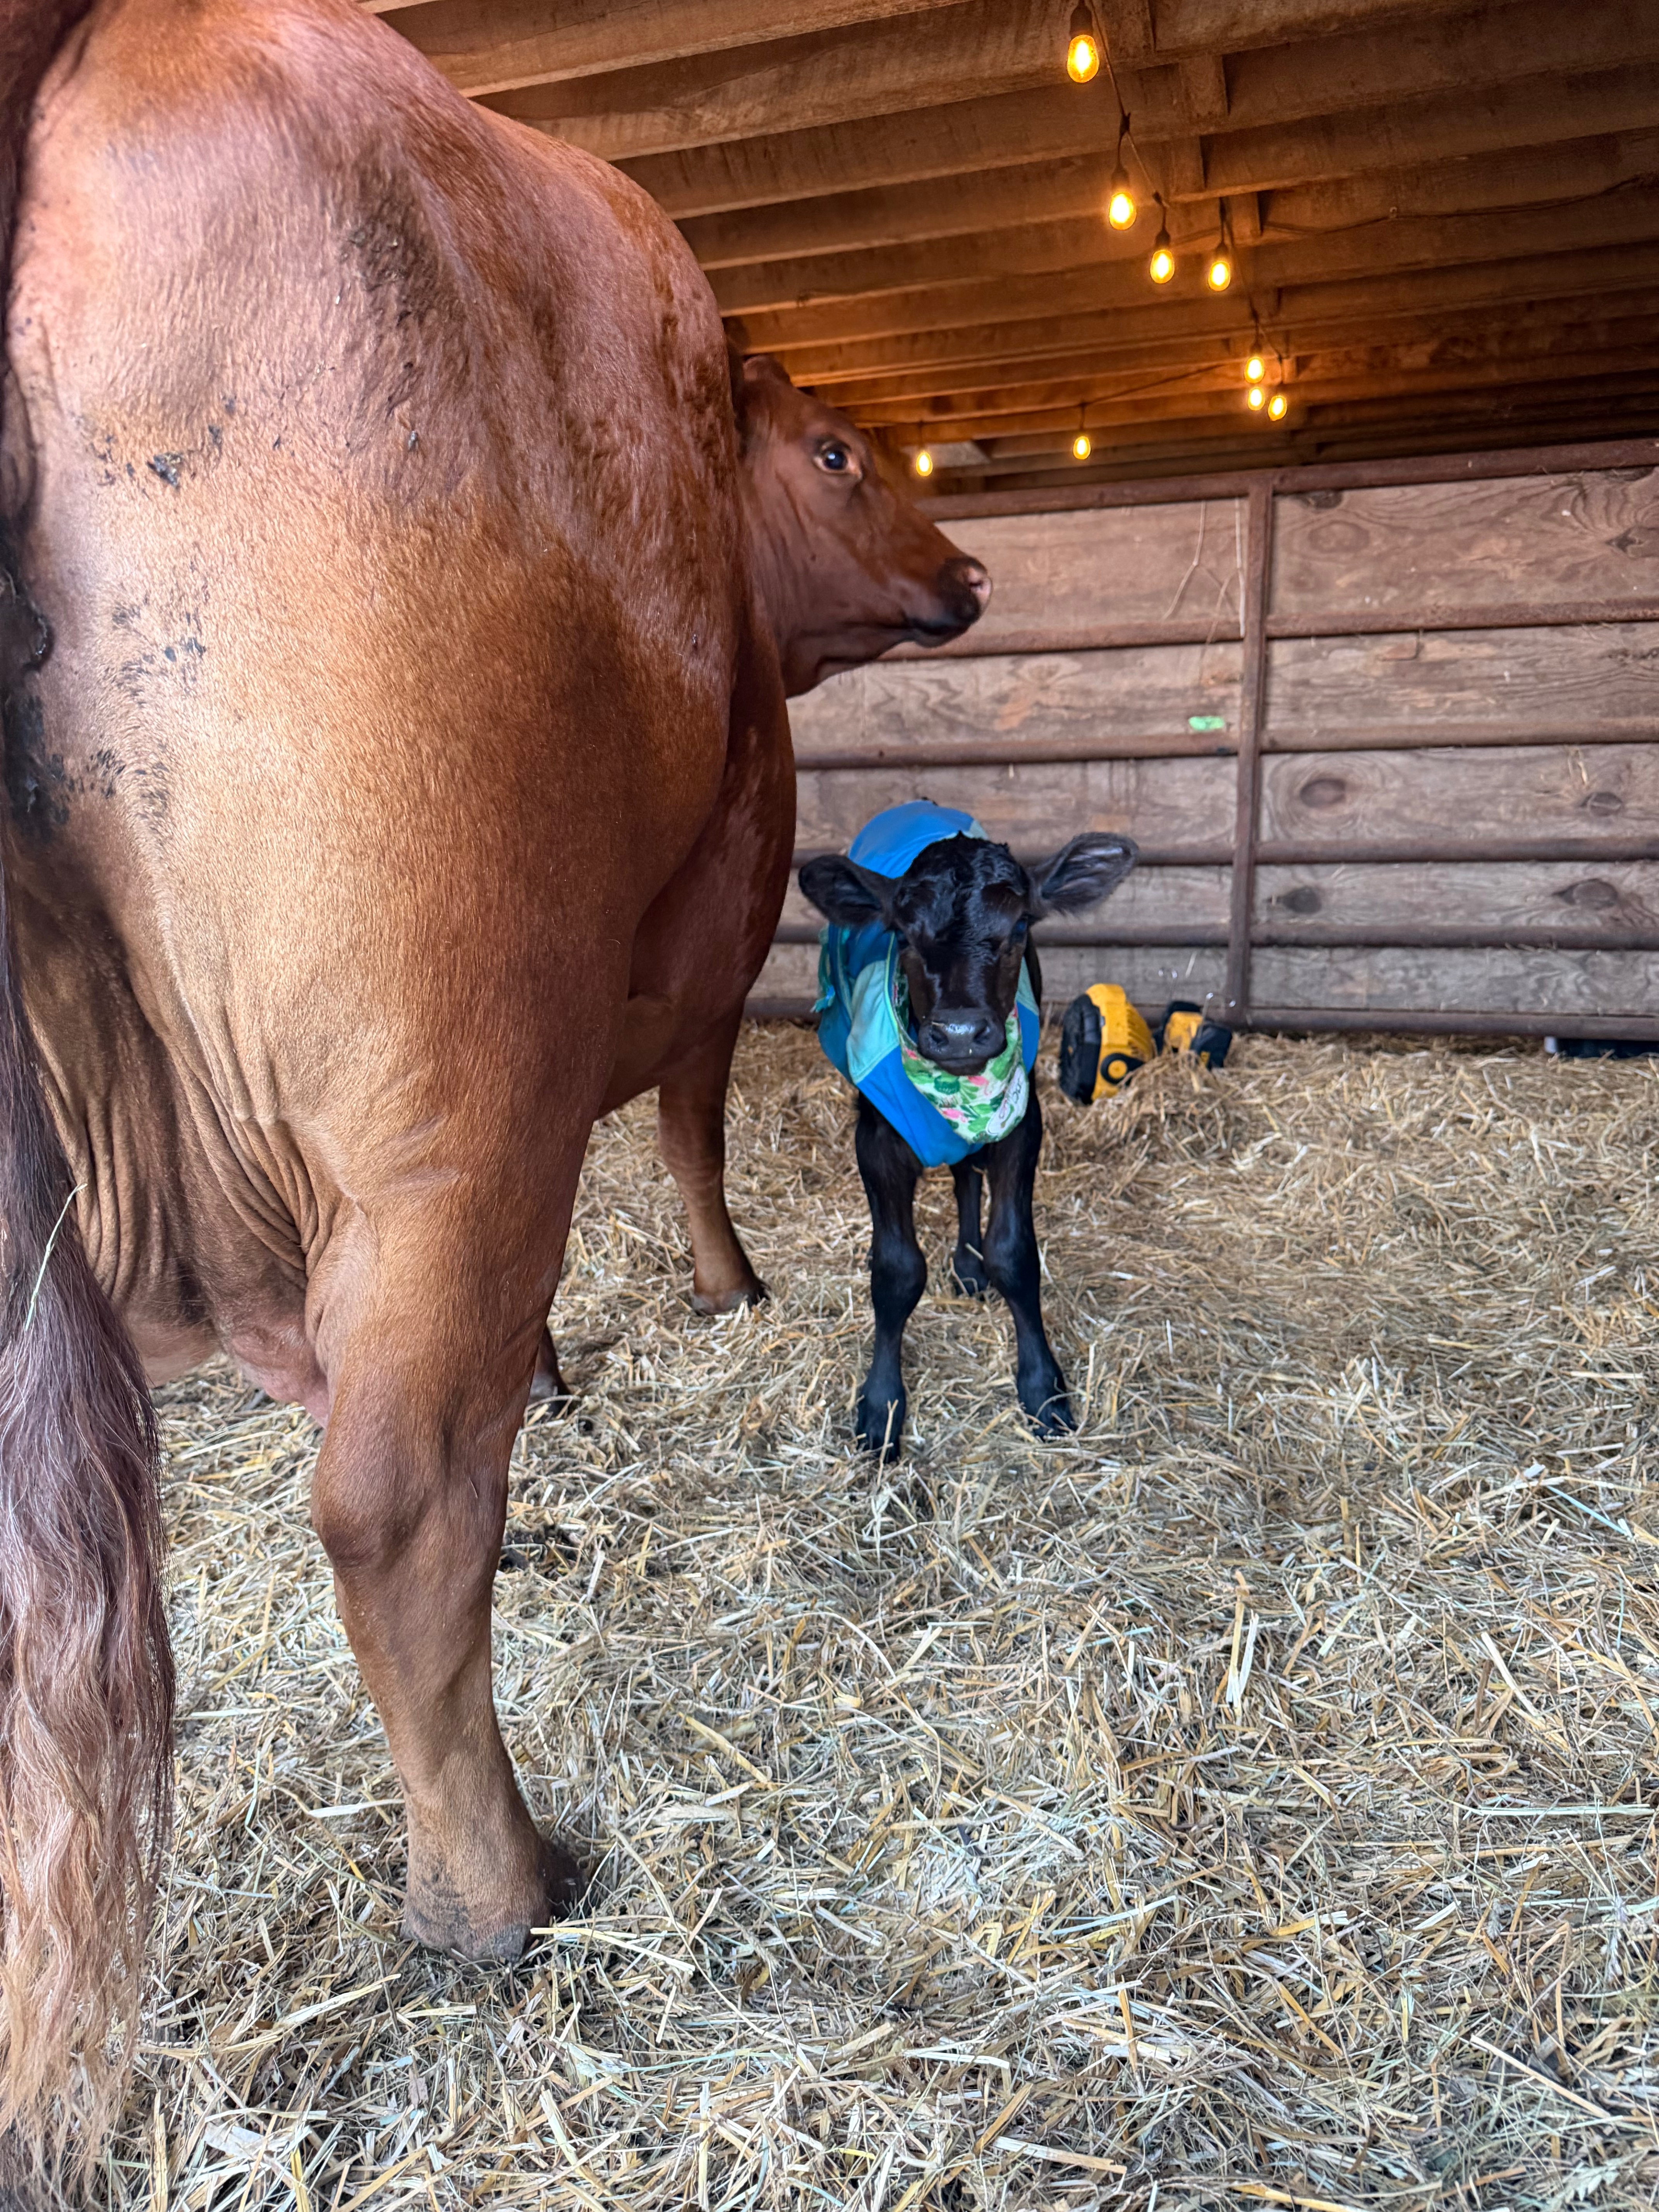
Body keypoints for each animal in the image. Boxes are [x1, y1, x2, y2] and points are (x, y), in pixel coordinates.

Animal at [0, 0, 984, 2171]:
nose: (969, 570)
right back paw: (496, 1886)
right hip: (449, 1078)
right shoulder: (687, 957)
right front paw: (722, 1291)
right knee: (388, 1495)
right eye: (839, 453)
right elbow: (689, 1133)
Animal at [799, 812, 1137, 1460]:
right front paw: (882, 1405)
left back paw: (969, 1264)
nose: (959, 1033)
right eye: (902, 932)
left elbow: (1016, 1253)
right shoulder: (874, 1140)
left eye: (1021, 925)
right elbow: (896, 1269)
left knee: (965, 1176)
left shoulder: (1021, 1125)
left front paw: (1043, 1389)